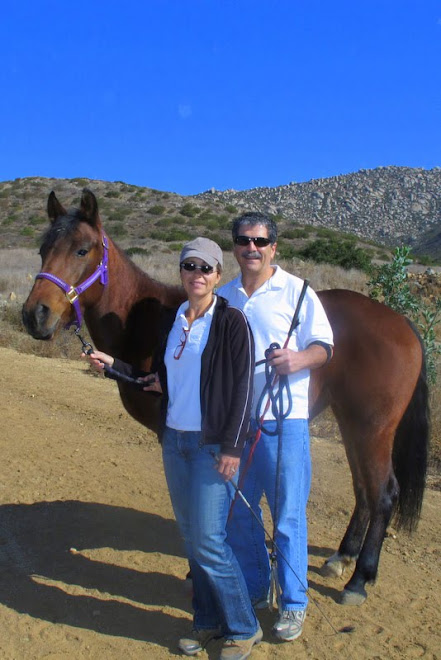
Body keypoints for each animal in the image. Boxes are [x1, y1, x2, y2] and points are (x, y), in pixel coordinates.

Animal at [22, 188, 428, 604]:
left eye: (82, 250)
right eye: (43, 249)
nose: (35, 315)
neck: (147, 325)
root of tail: (402, 323)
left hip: (372, 429)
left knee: (383, 493)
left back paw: (359, 578)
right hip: (351, 424)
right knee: (363, 490)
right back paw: (341, 557)